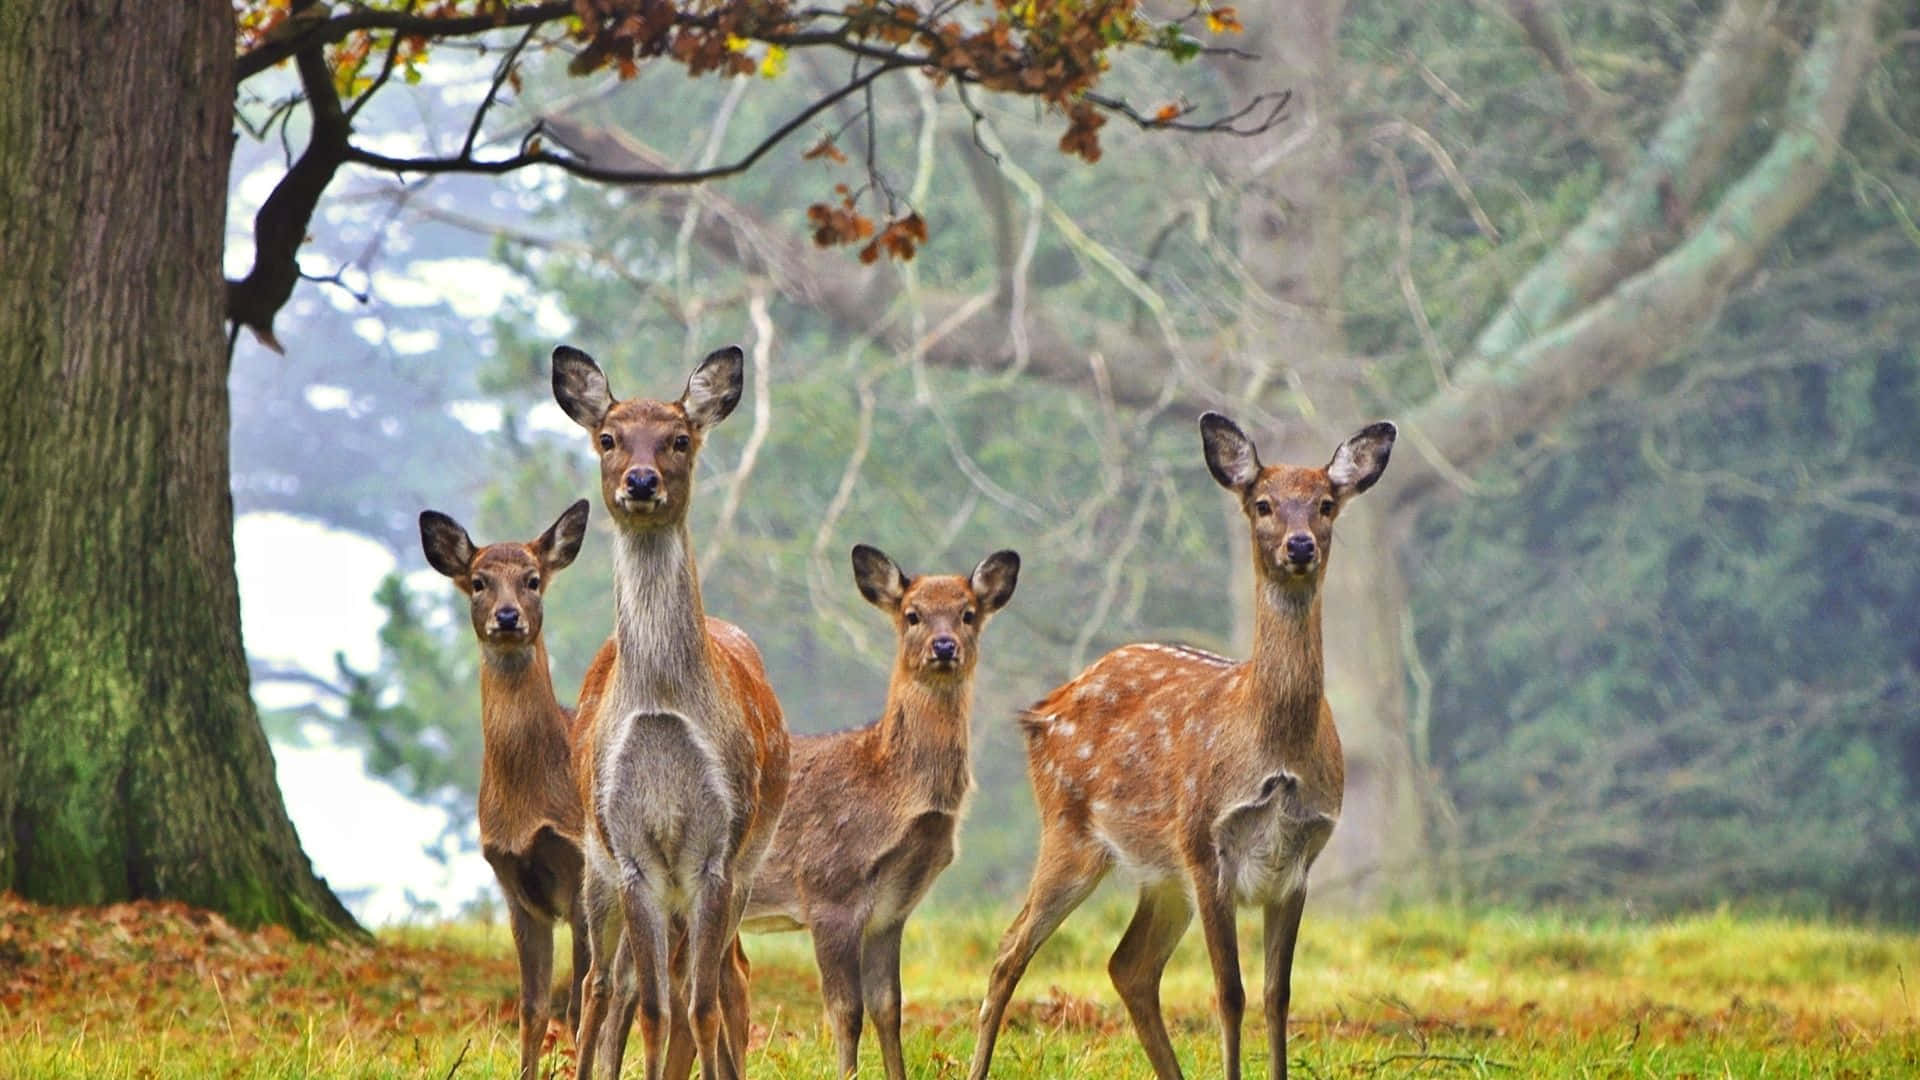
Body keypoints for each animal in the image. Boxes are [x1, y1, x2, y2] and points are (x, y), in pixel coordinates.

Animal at [417, 498, 593, 1080]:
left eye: (533, 579)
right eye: (478, 581)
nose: (509, 616)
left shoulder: (584, 871)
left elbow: (582, 1002)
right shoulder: (514, 884)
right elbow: (532, 1007)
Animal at [552, 343, 791, 1080]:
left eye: (680, 438)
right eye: (608, 437)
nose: (641, 480)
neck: (661, 706)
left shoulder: (720, 846)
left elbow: (700, 1003)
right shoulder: (629, 850)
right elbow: (656, 1008)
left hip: (743, 866)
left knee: (722, 980)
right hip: (595, 862)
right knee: (604, 983)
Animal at [739, 543, 1021, 1079]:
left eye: (968, 613)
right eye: (912, 614)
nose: (944, 646)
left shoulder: (893, 910)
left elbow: (888, 1007)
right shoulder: (828, 889)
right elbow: (845, 1012)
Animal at [968, 413, 1396, 1080]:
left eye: (1326, 504)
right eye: (1263, 503)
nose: (1299, 545)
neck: (1275, 753)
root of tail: (1042, 711)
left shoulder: (1299, 859)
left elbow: (1278, 995)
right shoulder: (1205, 844)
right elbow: (1231, 993)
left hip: (1160, 872)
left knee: (1129, 965)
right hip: (1071, 828)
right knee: (1011, 947)